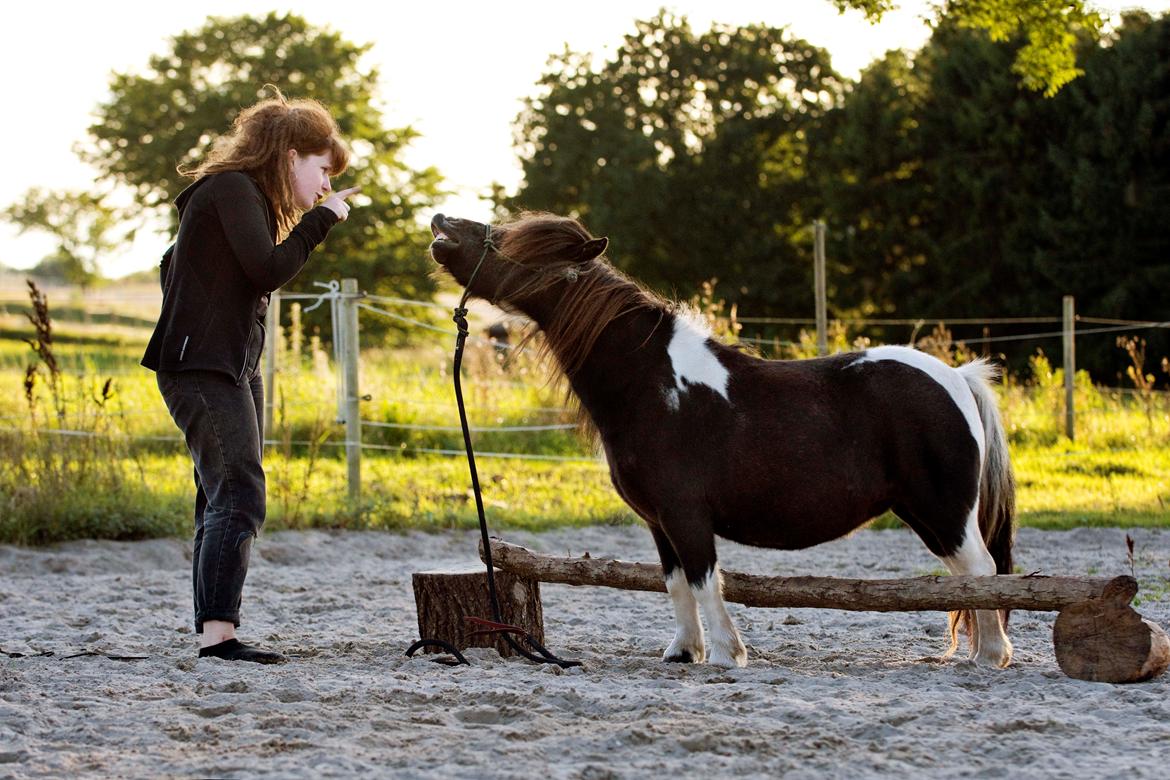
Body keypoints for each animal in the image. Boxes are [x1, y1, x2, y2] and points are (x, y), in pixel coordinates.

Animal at [428, 210, 1015, 668]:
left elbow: (705, 579)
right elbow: (675, 584)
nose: (440, 224)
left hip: (945, 513)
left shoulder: (686, 515)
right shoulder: (659, 522)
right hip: (926, 515)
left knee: (981, 572)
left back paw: (990, 656)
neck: (652, 383)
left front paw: (728, 655)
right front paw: (683, 652)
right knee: (967, 579)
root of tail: (956, 376)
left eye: (511, 241)